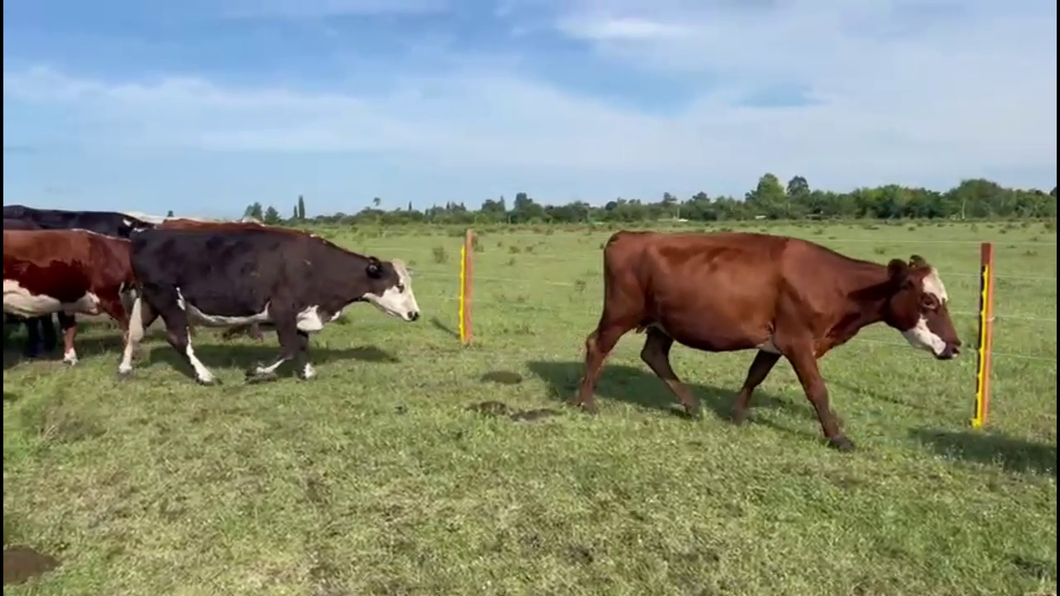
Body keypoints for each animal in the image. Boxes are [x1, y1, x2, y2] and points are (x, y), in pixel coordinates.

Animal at [2, 228, 136, 364]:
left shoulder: (67, 301)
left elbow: (69, 329)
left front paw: (70, 358)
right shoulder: (108, 296)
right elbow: (127, 327)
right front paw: (128, 359)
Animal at [121, 224, 421, 381]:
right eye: (400, 286)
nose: (415, 314)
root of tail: (146, 233)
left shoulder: (301, 313)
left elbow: (302, 344)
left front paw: (307, 372)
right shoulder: (282, 310)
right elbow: (288, 348)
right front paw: (258, 370)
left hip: (149, 299)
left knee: (134, 332)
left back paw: (124, 368)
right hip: (168, 300)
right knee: (178, 339)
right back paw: (205, 375)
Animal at [576, 228, 966, 449]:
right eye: (928, 301)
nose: (956, 345)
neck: (835, 283)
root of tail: (630, 235)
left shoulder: (776, 342)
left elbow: (755, 376)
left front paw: (736, 415)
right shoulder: (797, 341)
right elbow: (817, 390)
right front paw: (837, 437)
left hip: (662, 323)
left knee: (654, 355)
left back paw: (693, 406)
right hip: (620, 313)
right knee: (597, 345)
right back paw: (585, 402)